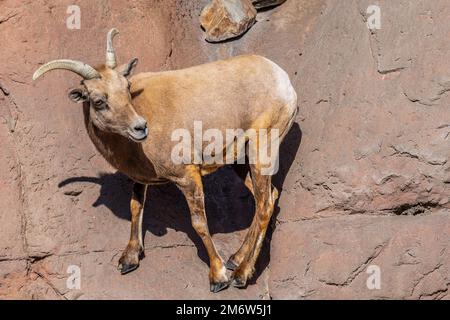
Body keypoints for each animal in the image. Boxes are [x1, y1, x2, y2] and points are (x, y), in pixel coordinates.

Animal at [33, 28, 298, 292]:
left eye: (127, 88)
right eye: (99, 101)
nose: (140, 127)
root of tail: (284, 83)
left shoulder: (187, 176)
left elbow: (199, 223)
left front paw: (218, 277)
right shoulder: (141, 179)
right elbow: (136, 206)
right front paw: (129, 260)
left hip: (261, 150)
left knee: (264, 206)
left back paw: (241, 275)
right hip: (240, 160)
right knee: (268, 197)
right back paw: (235, 259)